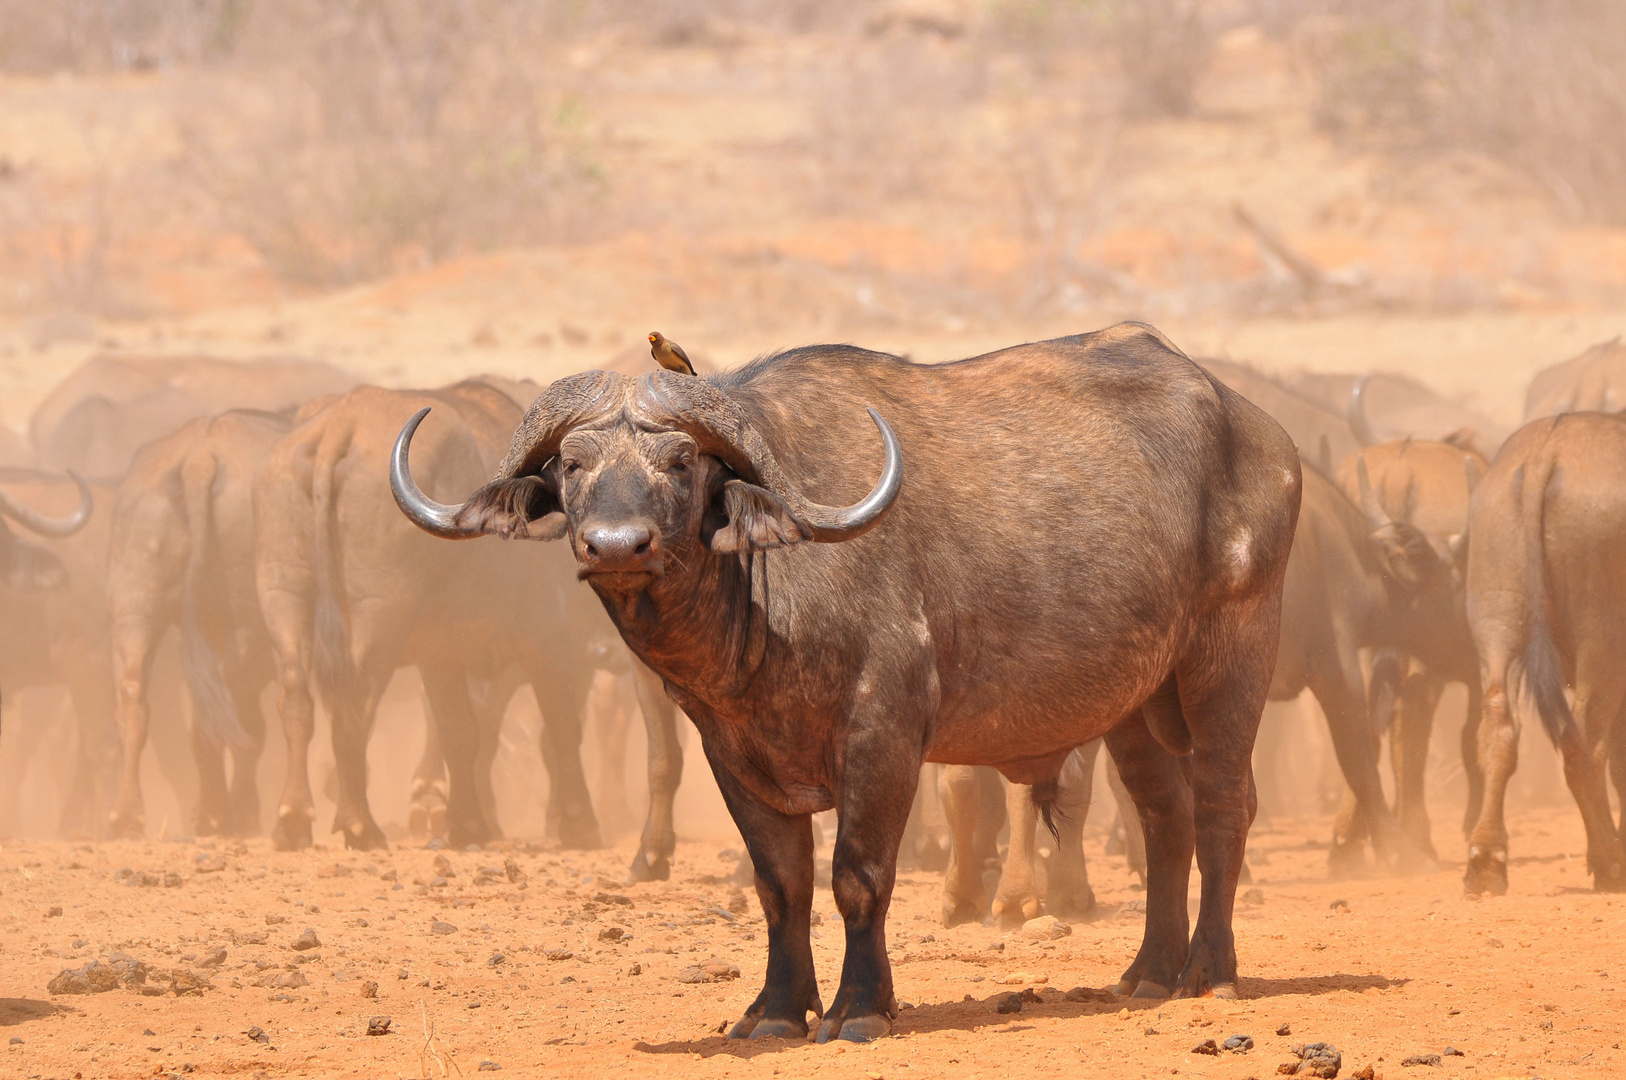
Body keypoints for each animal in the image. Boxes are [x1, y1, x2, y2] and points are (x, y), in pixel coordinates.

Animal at [393, 322, 1294, 1040]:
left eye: (681, 462)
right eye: (574, 465)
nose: (617, 545)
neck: (764, 591)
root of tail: (1260, 433)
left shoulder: (884, 736)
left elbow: (858, 877)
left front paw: (860, 1007)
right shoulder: (730, 752)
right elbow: (780, 885)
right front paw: (774, 1012)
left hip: (1230, 656)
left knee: (1223, 806)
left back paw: (1210, 971)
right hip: (1138, 702)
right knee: (1165, 816)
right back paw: (1151, 972)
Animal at [1463, 409, 1626, 891]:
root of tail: (1547, 451)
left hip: (1496, 614)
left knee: (1497, 724)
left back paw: (1486, 860)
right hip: (1603, 639)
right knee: (1584, 743)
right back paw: (1609, 861)